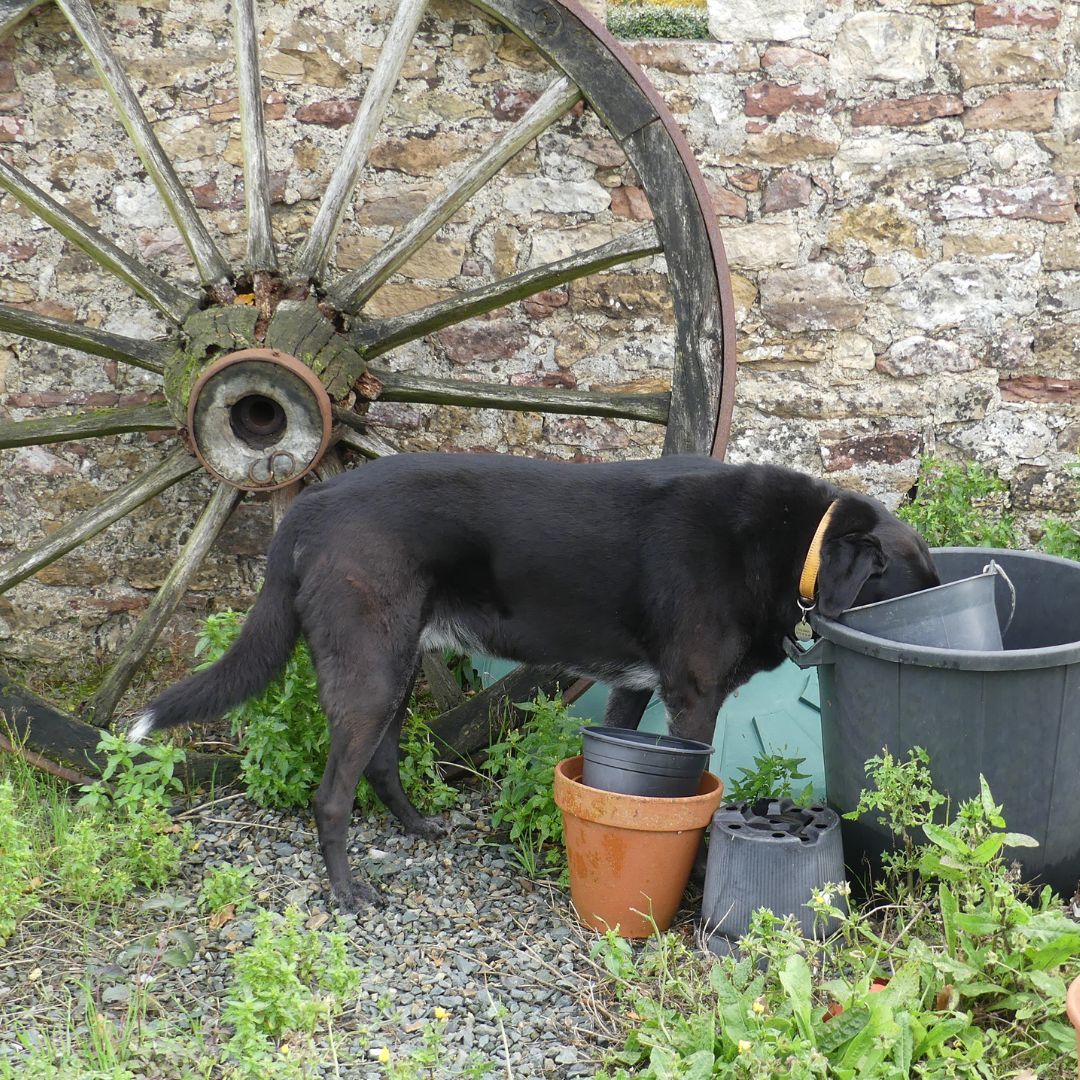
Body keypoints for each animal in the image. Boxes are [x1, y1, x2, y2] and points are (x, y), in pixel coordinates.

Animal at [132, 452, 939, 910]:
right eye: (904, 595)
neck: (797, 544)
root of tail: (308, 506)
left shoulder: (634, 687)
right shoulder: (693, 699)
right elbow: (696, 803)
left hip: (395, 663)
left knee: (382, 761)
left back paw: (416, 827)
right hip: (370, 669)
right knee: (331, 795)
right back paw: (347, 892)